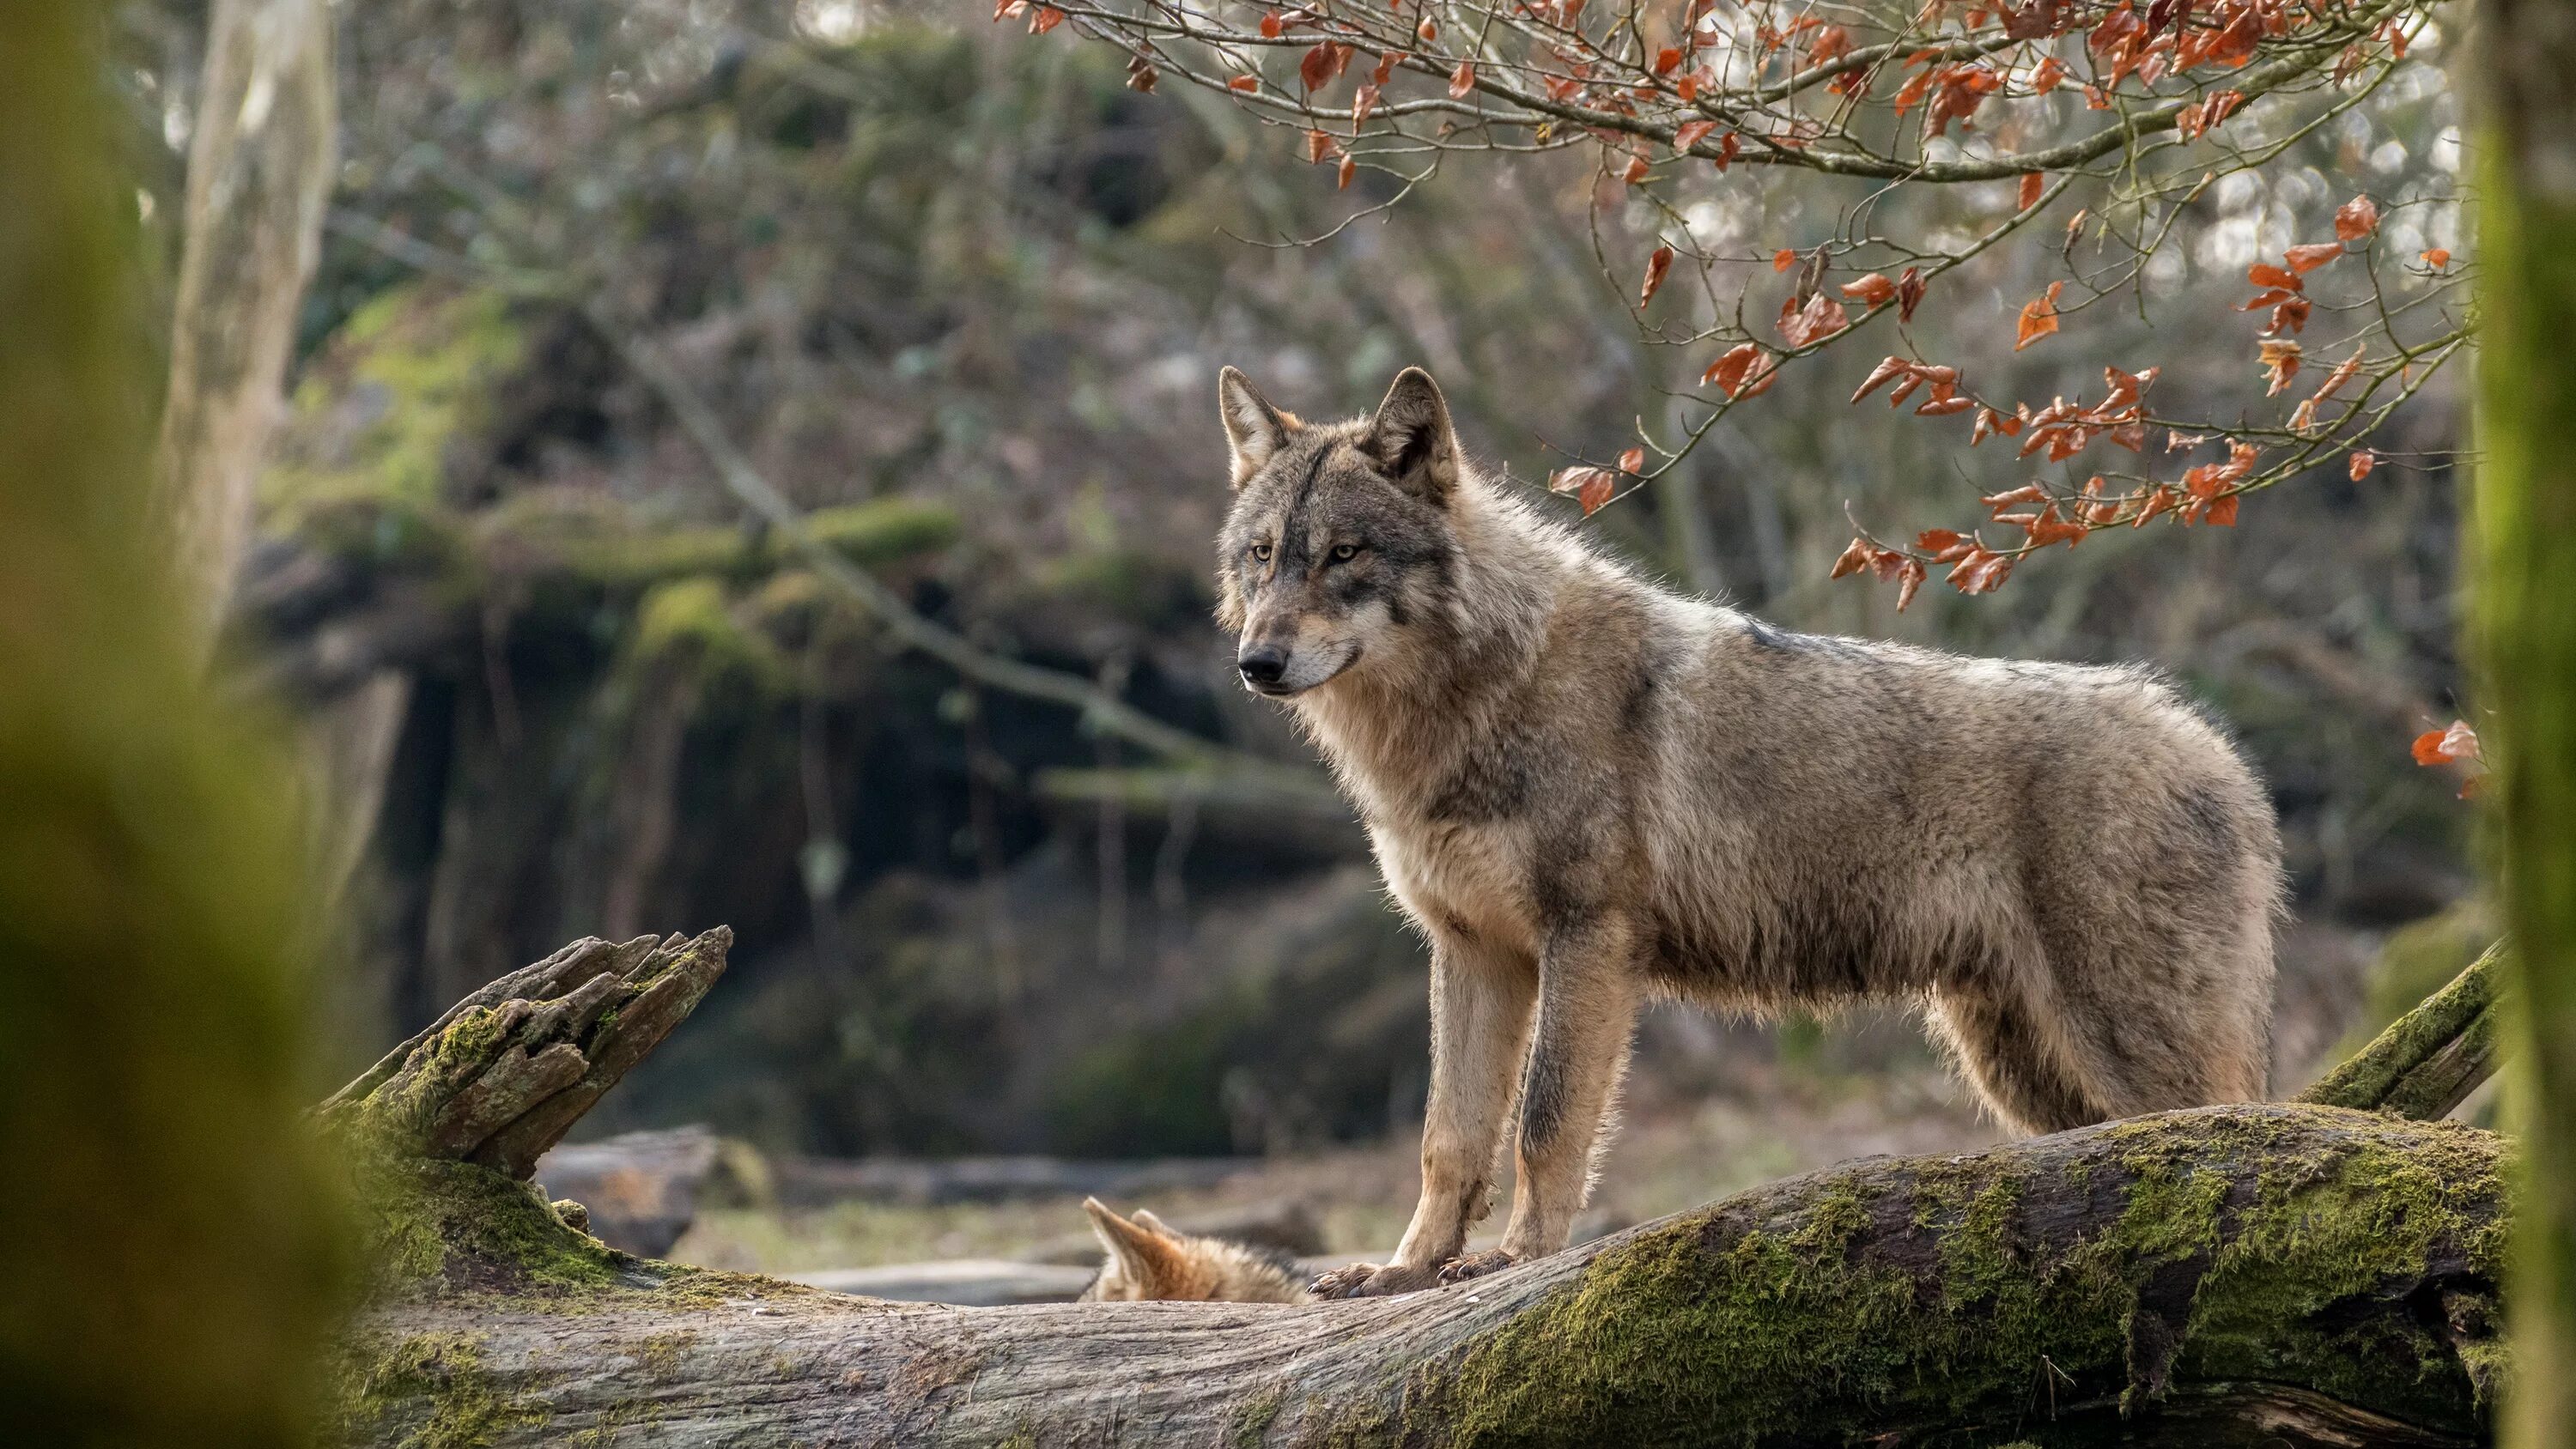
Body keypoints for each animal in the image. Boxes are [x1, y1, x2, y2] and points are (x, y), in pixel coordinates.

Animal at [1216, 367, 2287, 1297]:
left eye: (1344, 553)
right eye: (1264, 554)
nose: (1255, 663)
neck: (1471, 700)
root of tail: (2221, 754)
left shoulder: (1588, 939)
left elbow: (1545, 1120)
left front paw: (1517, 1258)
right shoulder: (1473, 948)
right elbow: (1450, 1137)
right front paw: (1405, 1271)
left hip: (2119, 1051)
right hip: (2023, 1071)